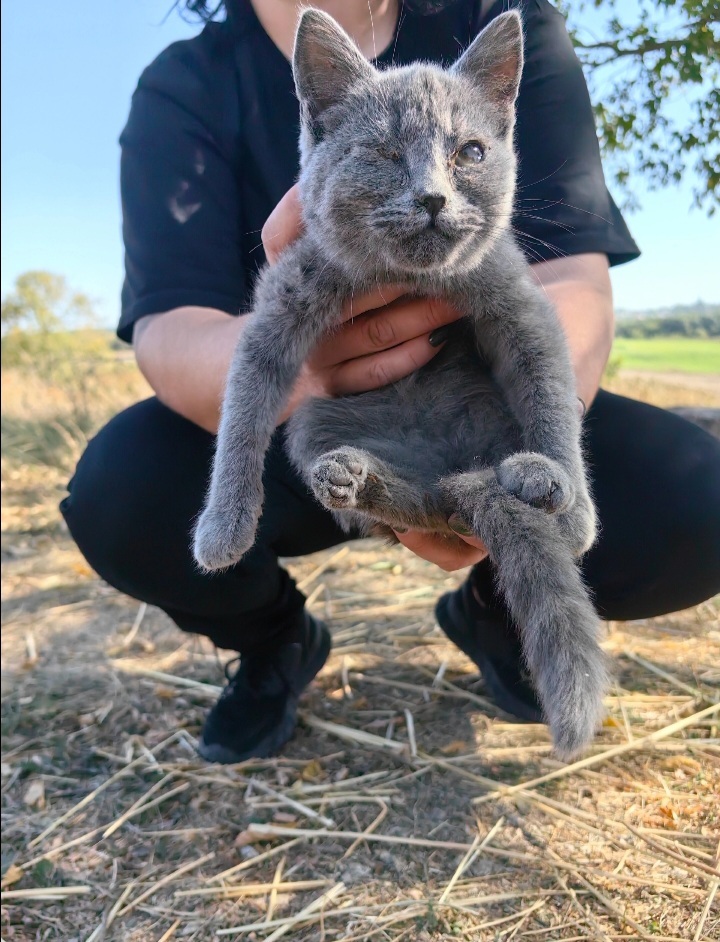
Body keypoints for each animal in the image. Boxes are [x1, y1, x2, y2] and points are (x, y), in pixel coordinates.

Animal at [193, 9, 608, 760]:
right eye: (383, 155)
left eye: (471, 152)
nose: (433, 197)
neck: (406, 278)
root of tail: (450, 470)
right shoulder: (279, 307)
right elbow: (240, 415)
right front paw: (223, 530)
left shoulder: (519, 305)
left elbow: (552, 390)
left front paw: (576, 508)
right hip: (316, 421)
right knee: (415, 505)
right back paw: (353, 476)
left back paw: (531, 477)